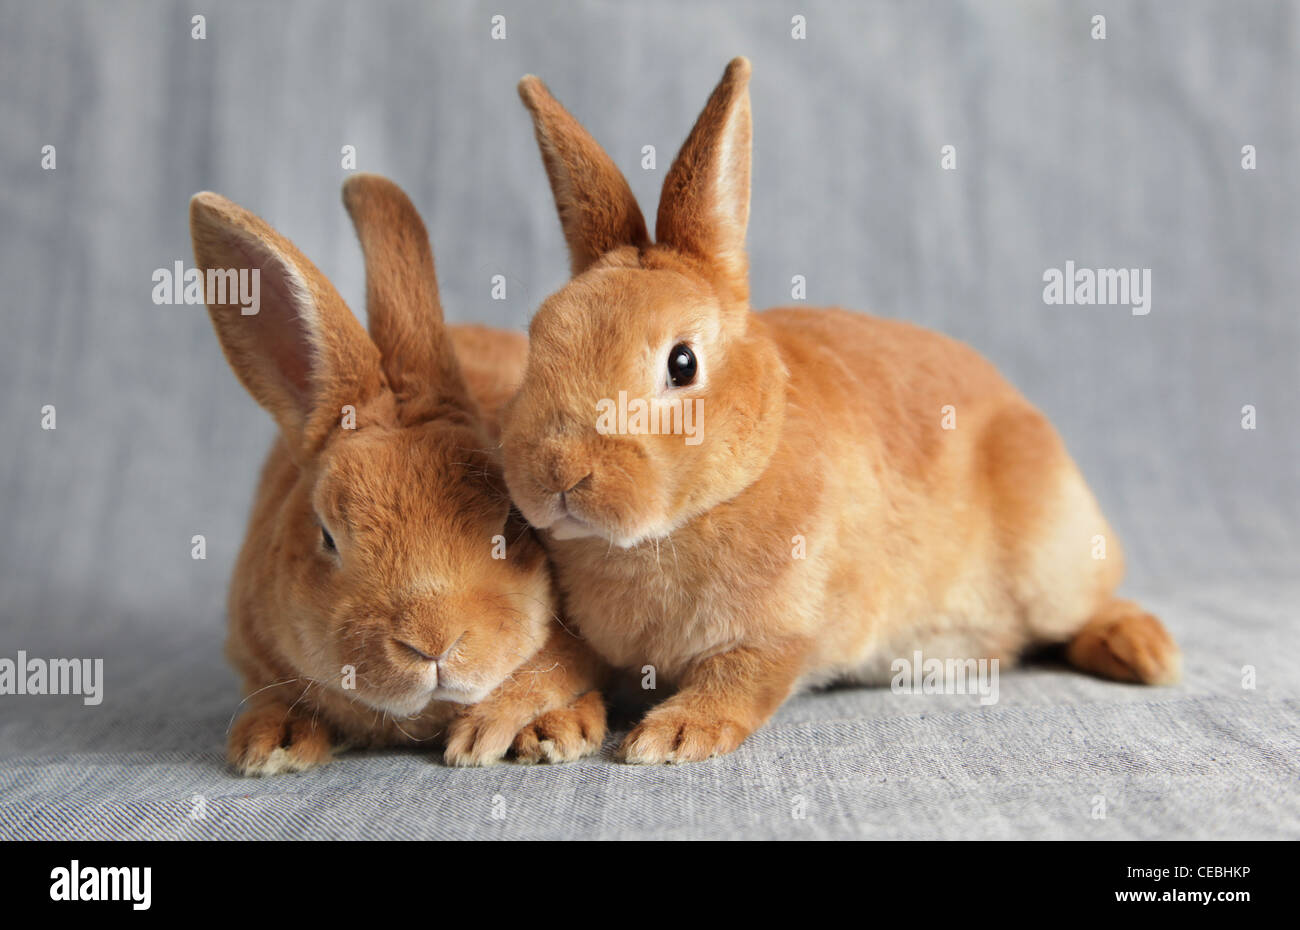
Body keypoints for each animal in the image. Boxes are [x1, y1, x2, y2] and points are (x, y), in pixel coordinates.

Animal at [189, 173, 606, 774]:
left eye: (511, 523)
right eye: (327, 536)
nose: (432, 644)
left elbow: (550, 675)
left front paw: (492, 734)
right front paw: (271, 744)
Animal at [498, 58, 1181, 764]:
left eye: (682, 364)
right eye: (538, 342)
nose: (560, 474)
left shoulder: (778, 634)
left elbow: (743, 680)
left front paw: (672, 736)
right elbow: (571, 672)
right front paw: (548, 731)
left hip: (1051, 558)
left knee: (1089, 606)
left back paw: (1145, 654)